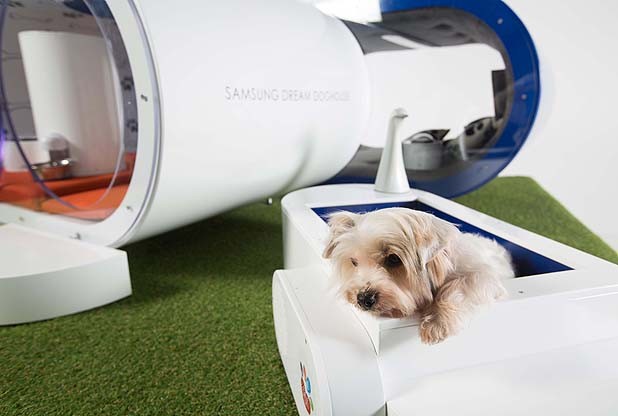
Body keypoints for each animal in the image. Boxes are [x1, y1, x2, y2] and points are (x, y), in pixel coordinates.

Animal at [323, 208, 514, 344]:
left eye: (393, 259)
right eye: (354, 262)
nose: (363, 298)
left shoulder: (484, 275)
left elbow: (461, 285)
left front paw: (437, 322)